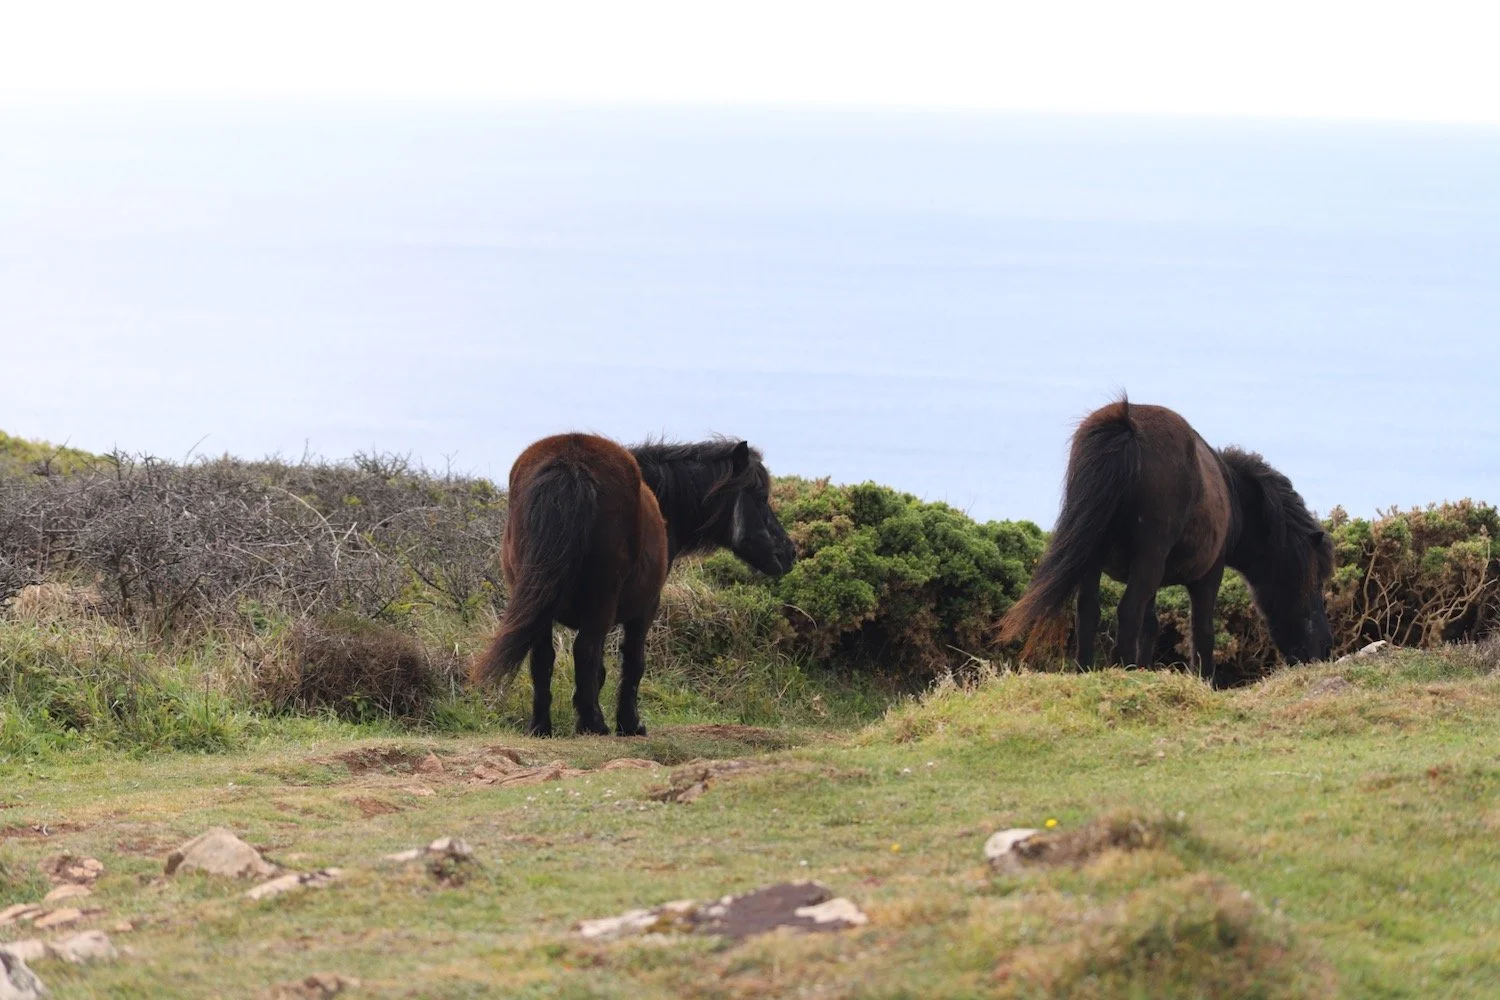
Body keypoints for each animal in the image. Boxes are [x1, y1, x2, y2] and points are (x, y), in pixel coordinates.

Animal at [471, 434, 796, 736]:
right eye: (760, 495)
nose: (789, 552)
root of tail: (571, 463)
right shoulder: (646, 608)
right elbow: (632, 662)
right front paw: (629, 723)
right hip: (601, 599)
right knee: (585, 651)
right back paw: (594, 725)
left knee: (543, 658)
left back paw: (541, 726)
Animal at [998, 398, 1333, 686]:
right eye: (1315, 582)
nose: (1324, 651)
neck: (1233, 497)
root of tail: (1127, 422)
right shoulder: (1208, 574)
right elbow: (1202, 632)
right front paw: (1205, 682)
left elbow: (1151, 625)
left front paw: (1145, 669)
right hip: (1149, 558)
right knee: (1127, 610)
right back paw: (1122, 672)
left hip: (1098, 558)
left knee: (1089, 611)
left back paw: (1087, 672)